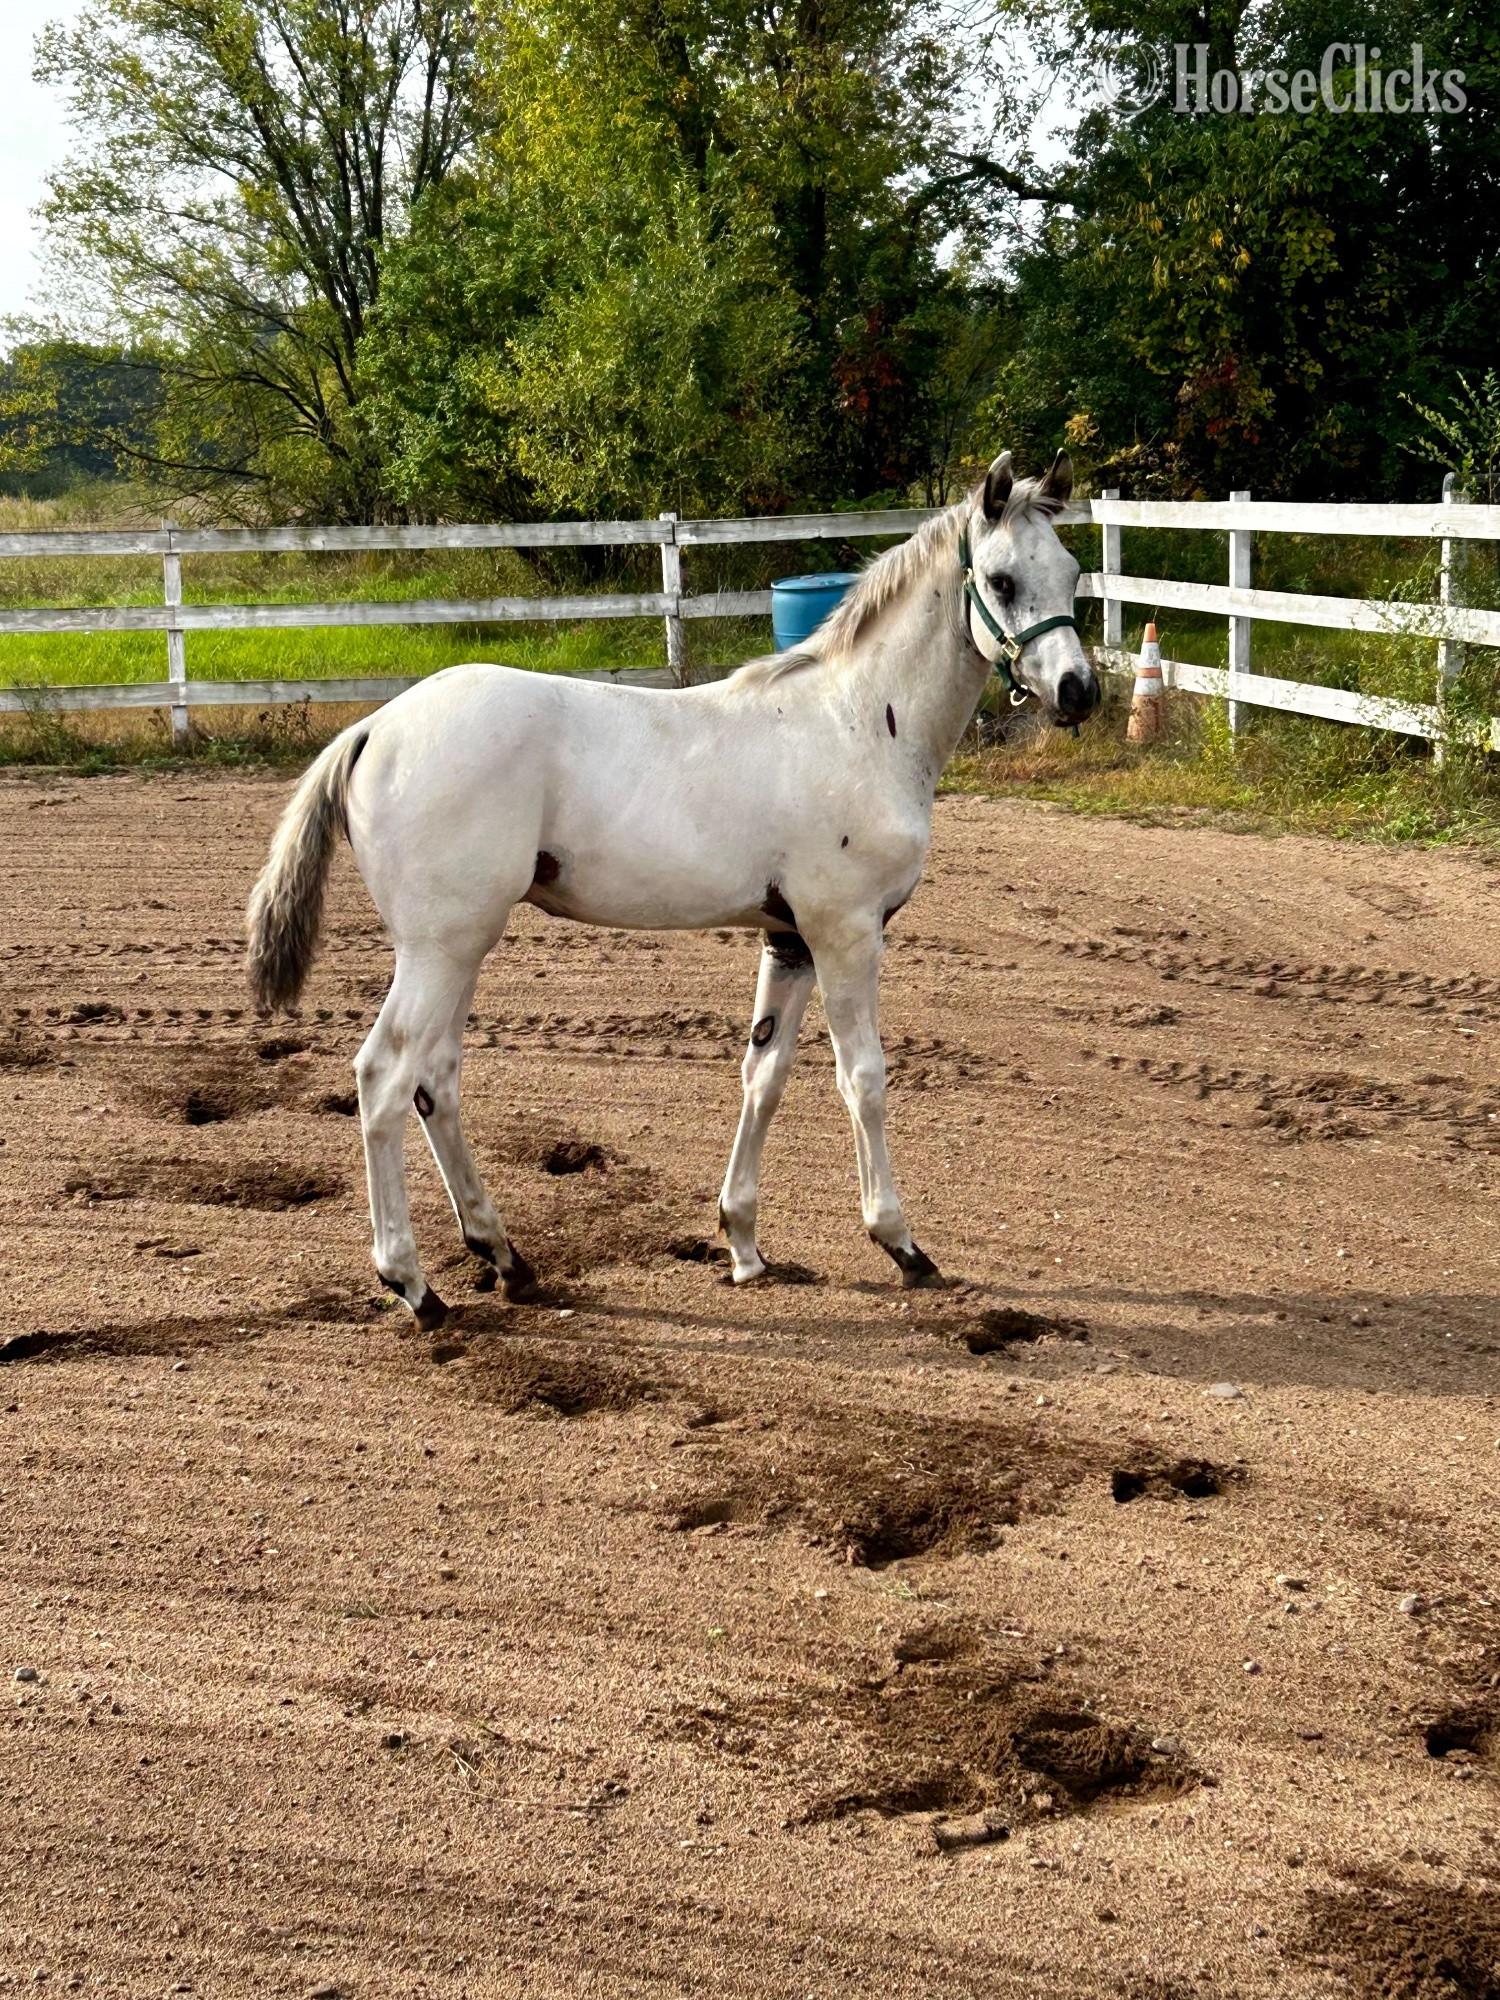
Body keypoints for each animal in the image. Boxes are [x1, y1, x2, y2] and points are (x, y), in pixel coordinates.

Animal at [246, 449, 1099, 1331]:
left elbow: (765, 1075)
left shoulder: (788, 937)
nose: (1080, 691)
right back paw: (414, 1285)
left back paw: (505, 1257)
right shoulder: (846, 931)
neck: (860, 722)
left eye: (1072, 571)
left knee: (435, 1081)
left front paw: (744, 1246)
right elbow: (862, 1078)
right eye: (1000, 579)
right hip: (440, 950)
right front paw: (901, 1244)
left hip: (458, 948)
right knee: (384, 1078)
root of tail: (371, 728)